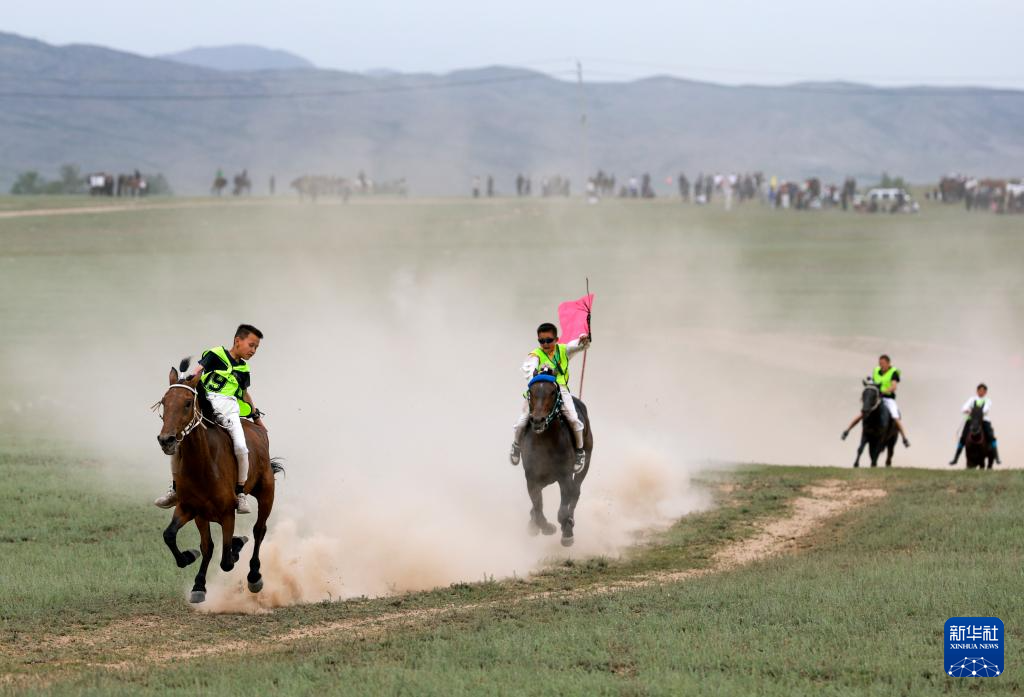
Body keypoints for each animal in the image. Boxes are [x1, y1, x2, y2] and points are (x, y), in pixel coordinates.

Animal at [155, 358, 282, 603]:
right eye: (164, 402)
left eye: (187, 403)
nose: (166, 440)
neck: (204, 466)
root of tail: (257, 429)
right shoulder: (192, 510)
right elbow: (181, 539)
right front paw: (195, 577)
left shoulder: (227, 513)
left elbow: (226, 561)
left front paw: (236, 546)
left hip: (266, 493)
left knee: (259, 530)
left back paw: (254, 575)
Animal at [520, 371, 593, 547]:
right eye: (531, 391)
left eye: (553, 392)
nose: (537, 420)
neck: (545, 442)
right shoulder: (531, 477)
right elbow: (537, 506)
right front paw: (544, 527)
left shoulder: (564, 476)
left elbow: (563, 509)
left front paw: (567, 532)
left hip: (586, 461)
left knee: (576, 491)